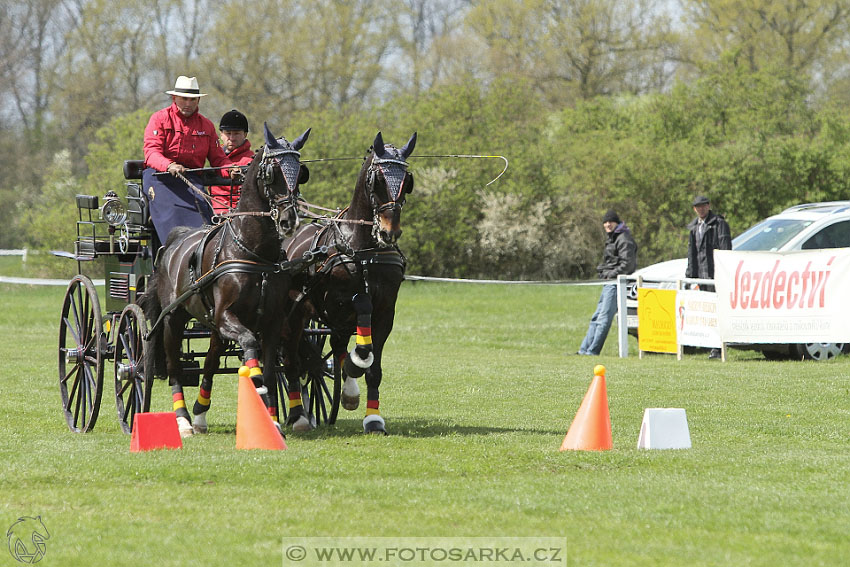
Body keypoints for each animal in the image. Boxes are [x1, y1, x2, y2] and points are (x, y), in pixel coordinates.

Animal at [139, 122, 312, 438]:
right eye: (273, 172)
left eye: (300, 170)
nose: (288, 220)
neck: (253, 251)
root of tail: (174, 240)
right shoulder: (227, 317)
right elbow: (250, 347)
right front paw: (257, 388)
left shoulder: (272, 322)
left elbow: (271, 369)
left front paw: (273, 419)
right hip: (174, 320)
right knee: (173, 366)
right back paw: (183, 420)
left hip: (212, 324)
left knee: (210, 361)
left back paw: (199, 414)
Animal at [282, 132, 414, 434]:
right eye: (377, 180)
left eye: (407, 181)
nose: (390, 232)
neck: (365, 248)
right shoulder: (337, 305)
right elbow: (362, 305)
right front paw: (355, 366)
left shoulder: (386, 312)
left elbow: (373, 367)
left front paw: (373, 418)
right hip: (294, 316)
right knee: (291, 359)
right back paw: (298, 415)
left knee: (336, 347)